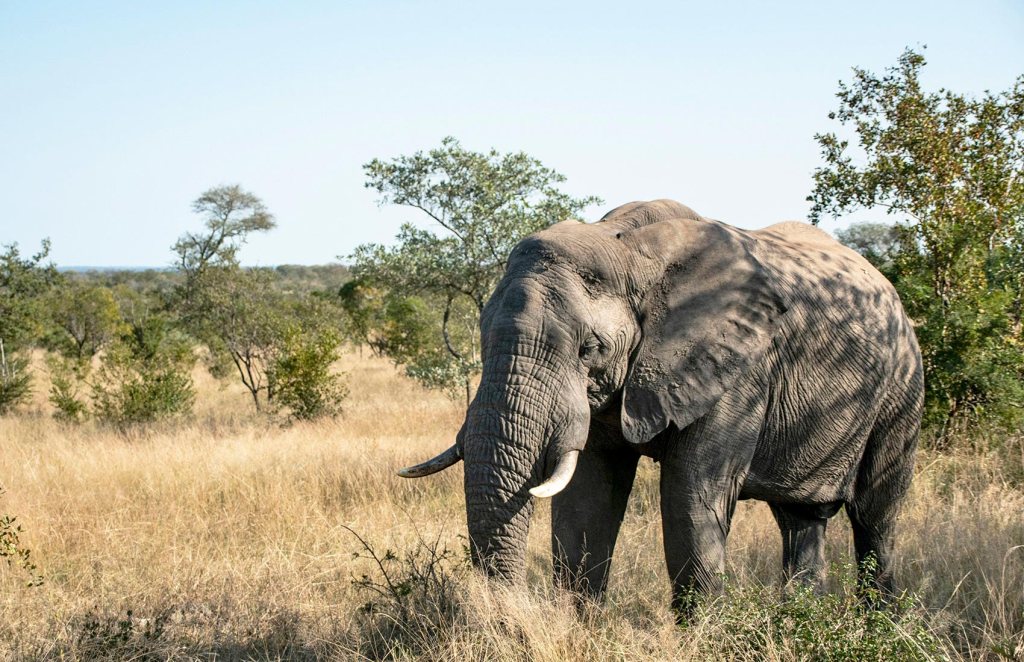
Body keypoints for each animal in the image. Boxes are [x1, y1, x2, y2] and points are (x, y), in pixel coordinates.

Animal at [399, 199, 923, 614]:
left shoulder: (738, 370)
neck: (630, 250)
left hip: (902, 389)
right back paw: (801, 620)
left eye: (589, 350)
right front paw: (580, 627)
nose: (512, 618)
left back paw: (881, 627)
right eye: (483, 338)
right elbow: (587, 498)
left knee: (876, 516)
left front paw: (705, 638)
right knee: (800, 522)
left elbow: (692, 497)